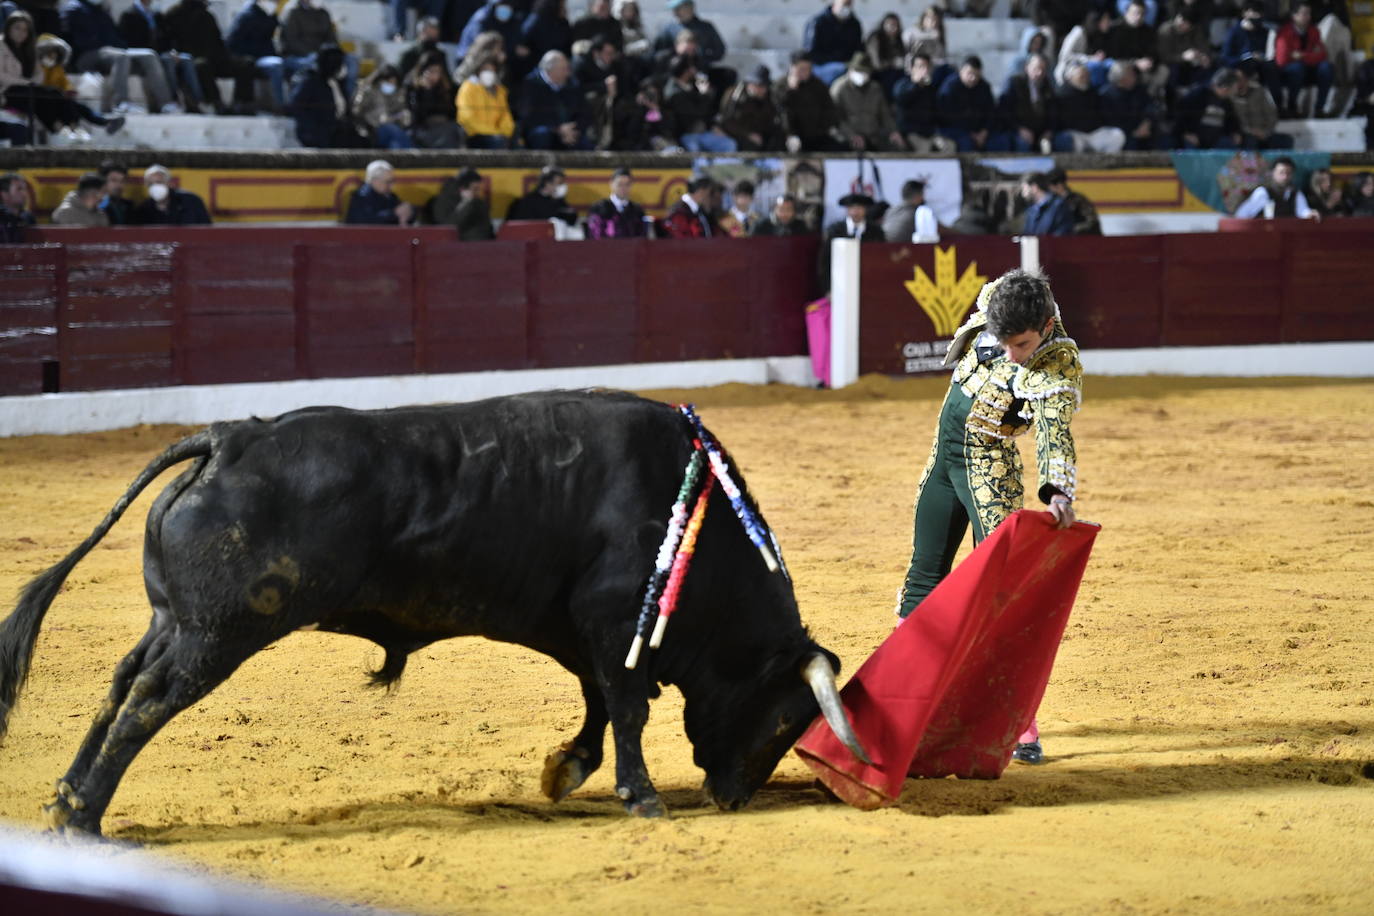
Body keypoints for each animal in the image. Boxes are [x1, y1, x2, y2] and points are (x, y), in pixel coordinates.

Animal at [0, 390, 862, 834]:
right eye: (786, 722)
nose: (734, 798)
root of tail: (227, 439)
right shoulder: (616, 621)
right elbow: (627, 705)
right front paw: (641, 796)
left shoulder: (583, 629)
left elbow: (599, 698)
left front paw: (566, 768)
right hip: (221, 631)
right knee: (149, 697)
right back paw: (83, 815)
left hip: (174, 622)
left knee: (122, 681)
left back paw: (65, 797)